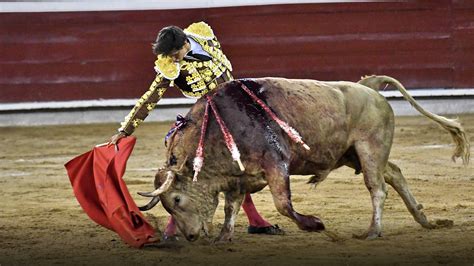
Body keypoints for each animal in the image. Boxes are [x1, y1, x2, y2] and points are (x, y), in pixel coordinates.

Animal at [136, 76, 466, 242]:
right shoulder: (238, 177)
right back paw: (423, 219)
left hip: (369, 148)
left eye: (177, 200)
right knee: (395, 172)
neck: (219, 125)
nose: (191, 236)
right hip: (354, 155)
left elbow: (283, 204)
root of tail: (368, 87)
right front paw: (223, 238)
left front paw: (315, 224)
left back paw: (374, 231)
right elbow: (231, 207)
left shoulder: (276, 163)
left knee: (378, 188)